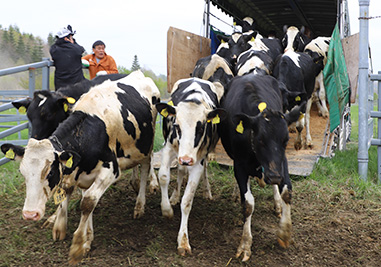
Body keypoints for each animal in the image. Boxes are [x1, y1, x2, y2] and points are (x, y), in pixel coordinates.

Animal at [218, 74, 302, 262]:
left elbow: (287, 191)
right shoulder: (240, 166)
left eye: (285, 140)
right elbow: (248, 204)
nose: (275, 177)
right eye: (260, 140)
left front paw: (285, 233)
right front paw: (245, 244)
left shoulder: (281, 162)